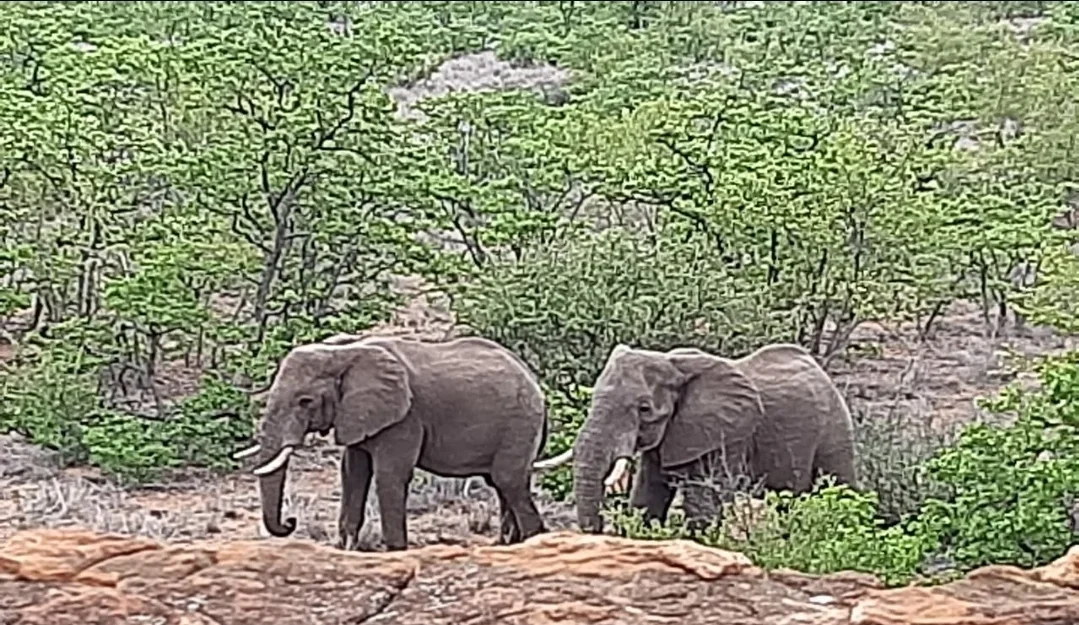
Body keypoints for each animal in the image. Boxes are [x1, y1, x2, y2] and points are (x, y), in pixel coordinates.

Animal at [232, 334, 549, 551]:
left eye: (305, 401)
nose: (290, 522)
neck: (345, 351)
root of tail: (535, 382)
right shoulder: (357, 414)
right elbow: (352, 473)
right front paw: (345, 549)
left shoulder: (405, 416)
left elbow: (389, 475)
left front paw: (395, 550)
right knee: (501, 484)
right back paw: (508, 545)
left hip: (520, 421)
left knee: (508, 480)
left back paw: (532, 539)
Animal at [538, 342, 857, 534]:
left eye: (644, 409)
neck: (673, 364)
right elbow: (647, 498)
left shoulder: (726, 435)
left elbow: (705, 504)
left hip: (835, 428)